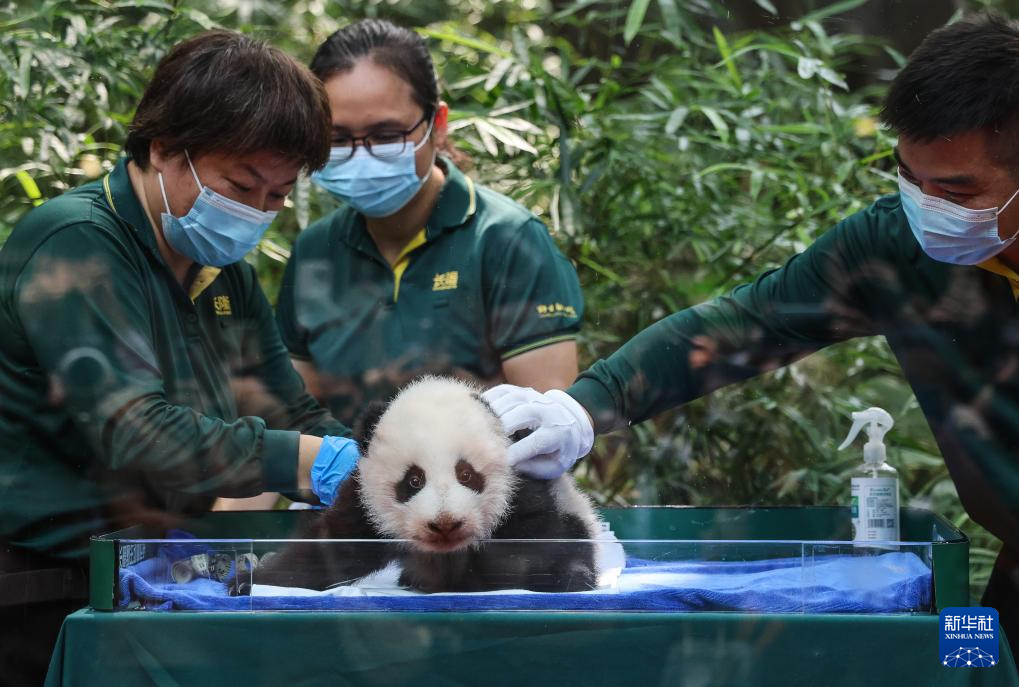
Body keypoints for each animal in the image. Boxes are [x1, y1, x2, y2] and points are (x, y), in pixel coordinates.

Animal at [238, 377, 599, 591]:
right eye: (414, 480)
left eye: (466, 474)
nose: (445, 524)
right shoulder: (365, 501)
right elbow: (331, 548)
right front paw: (250, 582)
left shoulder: (522, 487)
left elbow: (529, 544)